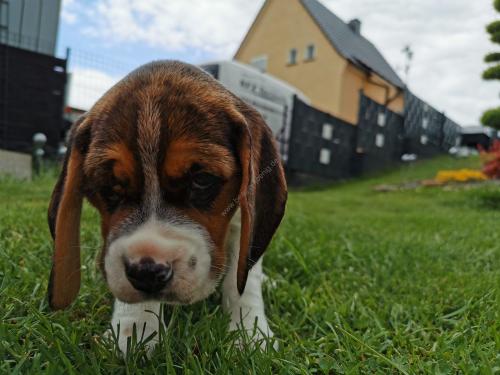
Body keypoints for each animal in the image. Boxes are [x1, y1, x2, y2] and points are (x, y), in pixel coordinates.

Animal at [48, 60, 290, 354]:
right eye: (108, 186)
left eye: (202, 180)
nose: (147, 272)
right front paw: (135, 329)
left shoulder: (243, 221)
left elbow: (242, 278)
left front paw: (249, 333)